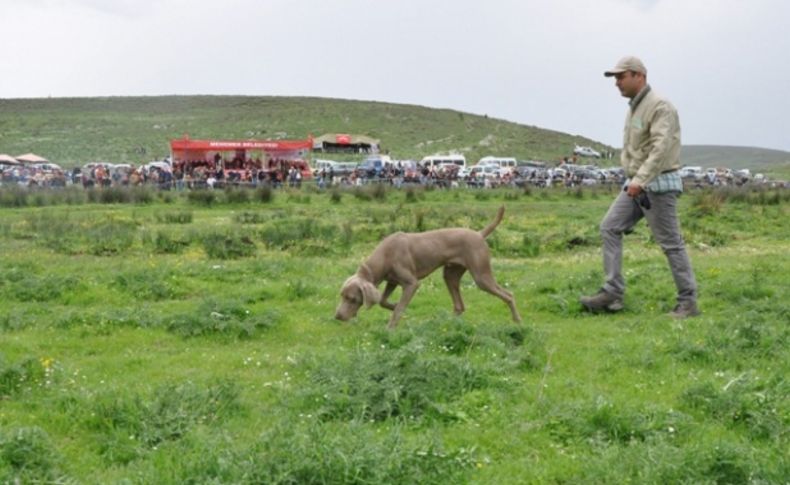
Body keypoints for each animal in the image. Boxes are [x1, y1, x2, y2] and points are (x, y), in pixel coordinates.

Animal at [338, 206, 524, 328]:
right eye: (342, 296)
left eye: (353, 299)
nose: (337, 316)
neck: (385, 255)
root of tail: (479, 234)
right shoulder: (392, 281)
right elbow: (384, 301)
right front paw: (394, 305)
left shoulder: (412, 283)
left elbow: (399, 309)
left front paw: (390, 327)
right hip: (450, 274)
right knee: (459, 305)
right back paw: (445, 324)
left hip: (481, 275)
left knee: (508, 295)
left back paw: (517, 321)